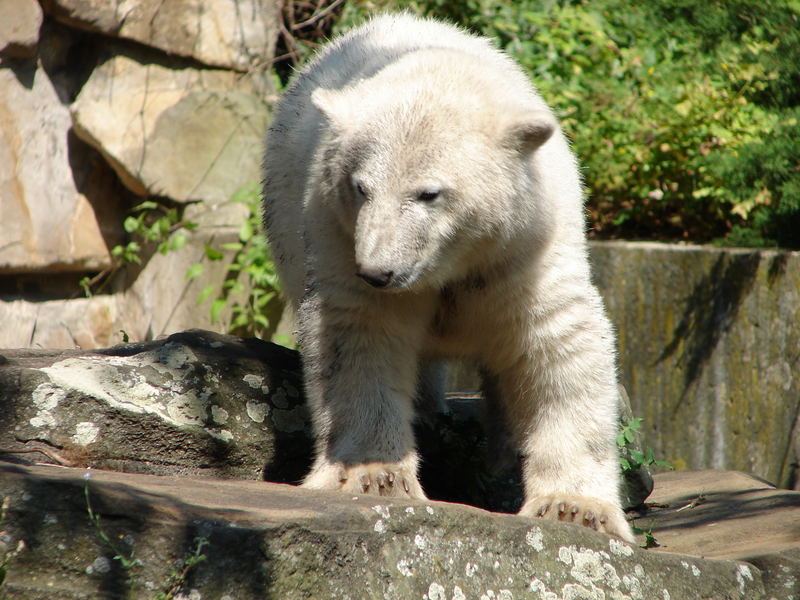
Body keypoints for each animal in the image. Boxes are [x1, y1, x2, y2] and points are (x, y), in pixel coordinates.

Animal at [266, 14, 636, 540]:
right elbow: (361, 335)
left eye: (429, 193)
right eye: (361, 187)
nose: (377, 271)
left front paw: (576, 508)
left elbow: (559, 345)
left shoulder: (526, 247)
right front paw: (374, 475)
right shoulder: (337, 234)